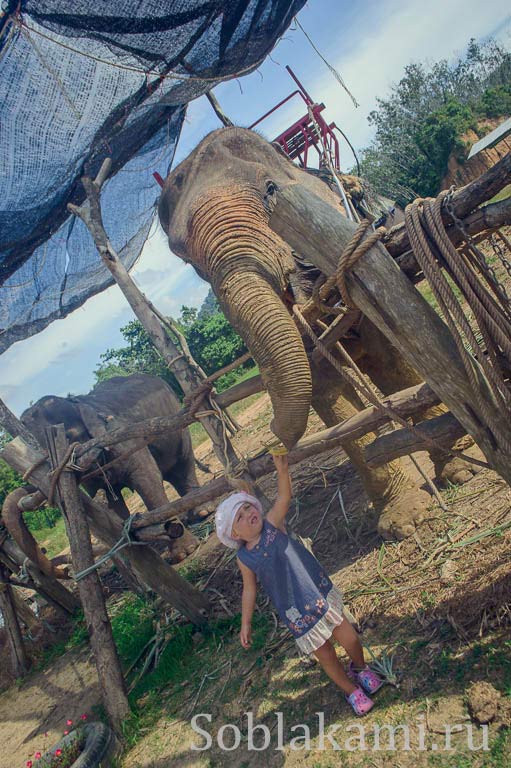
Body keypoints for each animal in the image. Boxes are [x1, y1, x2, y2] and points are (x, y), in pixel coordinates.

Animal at [20, 376, 204, 568]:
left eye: (69, 437)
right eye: (43, 456)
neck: (78, 402)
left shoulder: (120, 437)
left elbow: (148, 479)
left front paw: (184, 553)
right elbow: (113, 504)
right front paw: (141, 557)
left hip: (178, 416)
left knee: (182, 463)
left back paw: (201, 513)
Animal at [158, 126, 478, 540]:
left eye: (270, 188)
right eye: (187, 257)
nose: (269, 441)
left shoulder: (354, 265)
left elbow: (392, 360)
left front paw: (459, 469)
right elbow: (326, 394)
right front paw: (404, 520)